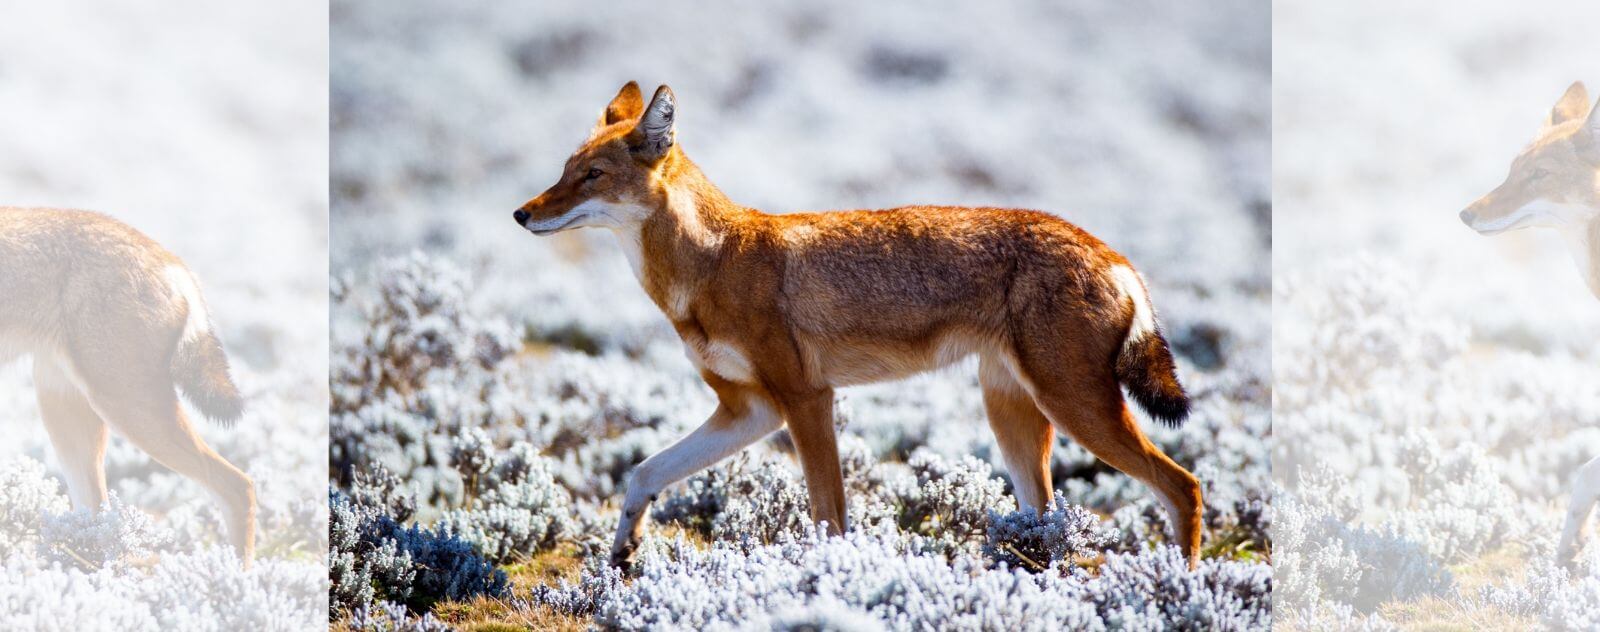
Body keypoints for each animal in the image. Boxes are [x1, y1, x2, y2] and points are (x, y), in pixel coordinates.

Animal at [0, 209, 254, 569]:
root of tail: (171, 259)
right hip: (70, 413)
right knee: (96, 514)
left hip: (126, 408)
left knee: (238, 486)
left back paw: (238, 578)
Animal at [512, 81, 1203, 572]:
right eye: (564, 169)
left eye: (591, 176)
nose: (521, 214)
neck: (709, 261)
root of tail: (1115, 256)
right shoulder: (750, 411)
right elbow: (644, 472)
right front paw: (623, 548)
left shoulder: (806, 400)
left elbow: (829, 519)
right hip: (1013, 416)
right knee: (1050, 521)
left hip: (1076, 409)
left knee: (1184, 487)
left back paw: (1181, 587)